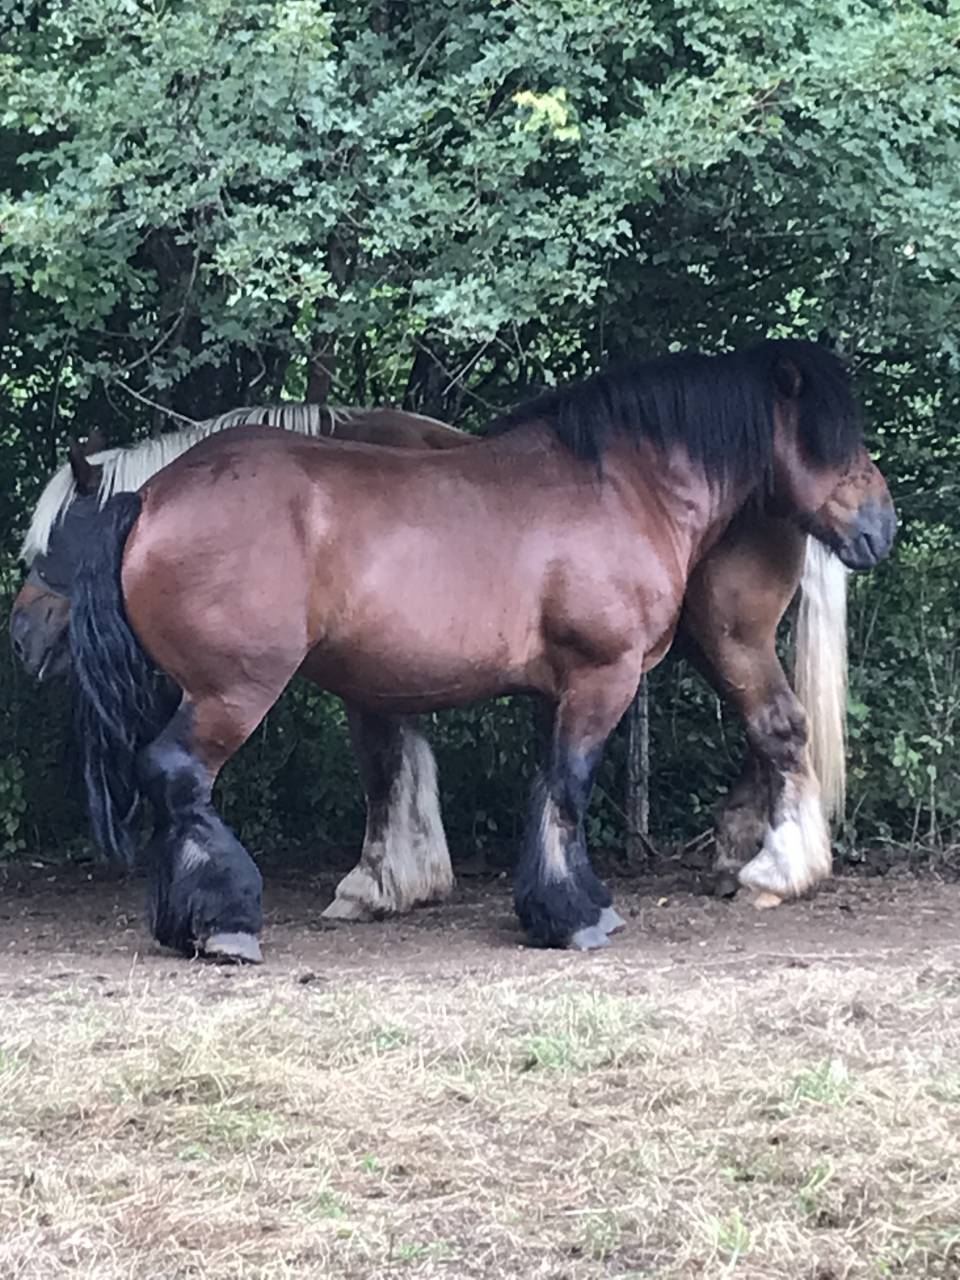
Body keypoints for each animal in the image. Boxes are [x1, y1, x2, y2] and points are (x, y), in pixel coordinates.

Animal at [56, 340, 894, 958]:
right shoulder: (603, 677)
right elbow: (567, 787)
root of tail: (150, 498)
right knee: (180, 775)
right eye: (832, 439)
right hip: (231, 691)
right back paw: (223, 923)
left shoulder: (561, 687)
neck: (621, 485)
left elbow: (549, 787)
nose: (880, 526)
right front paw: (574, 916)